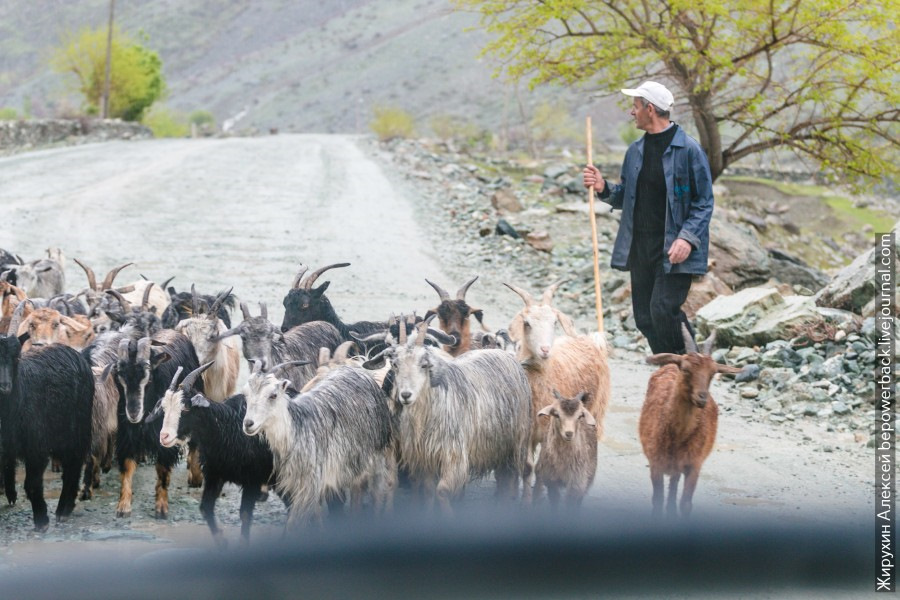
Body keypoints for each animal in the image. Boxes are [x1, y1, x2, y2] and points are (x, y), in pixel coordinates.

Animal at [102, 326, 202, 516]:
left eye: (147, 377)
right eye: (119, 376)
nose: (133, 413)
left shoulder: (164, 435)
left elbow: (162, 469)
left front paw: (161, 508)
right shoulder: (127, 435)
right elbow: (127, 468)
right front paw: (123, 506)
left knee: (194, 444)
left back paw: (196, 477)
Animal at [149, 364, 284, 548]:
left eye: (185, 408)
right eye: (163, 408)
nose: (164, 436)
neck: (229, 428)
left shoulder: (252, 479)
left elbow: (245, 514)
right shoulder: (215, 474)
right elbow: (205, 508)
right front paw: (222, 540)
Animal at [506, 282, 612, 502]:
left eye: (554, 322)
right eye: (527, 323)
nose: (545, 350)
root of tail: (591, 340)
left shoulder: (549, 430)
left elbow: (541, 468)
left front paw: (537, 498)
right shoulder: (527, 432)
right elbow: (528, 468)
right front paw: (526, 500)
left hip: (596, 410)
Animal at [644, 326, 740, 516]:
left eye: (713, 373)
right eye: (686, 369)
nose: (702, 398)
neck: (677, 438)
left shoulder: (694, 465)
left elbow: (685, 504)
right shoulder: (655, 463)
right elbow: (657, 501)